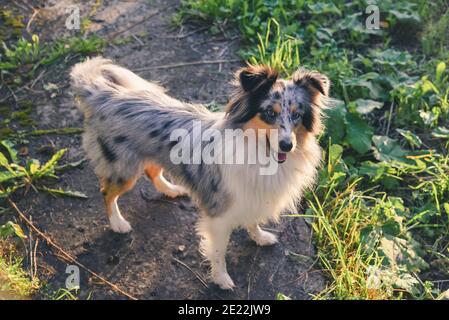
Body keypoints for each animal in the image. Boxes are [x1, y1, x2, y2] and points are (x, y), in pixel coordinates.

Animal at [70, 57, 328, 290]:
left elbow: (253, 220)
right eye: (269, 113)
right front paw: (221, 279)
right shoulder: (219, 215)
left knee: (152, 171)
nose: (287, 145)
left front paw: (260, 236)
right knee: (107, 192)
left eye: (296, 115)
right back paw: (118, 223)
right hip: (124, 169)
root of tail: (104, 94)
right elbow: (219, 251)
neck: (258, 152)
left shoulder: (253, 194)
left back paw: (171, 190)